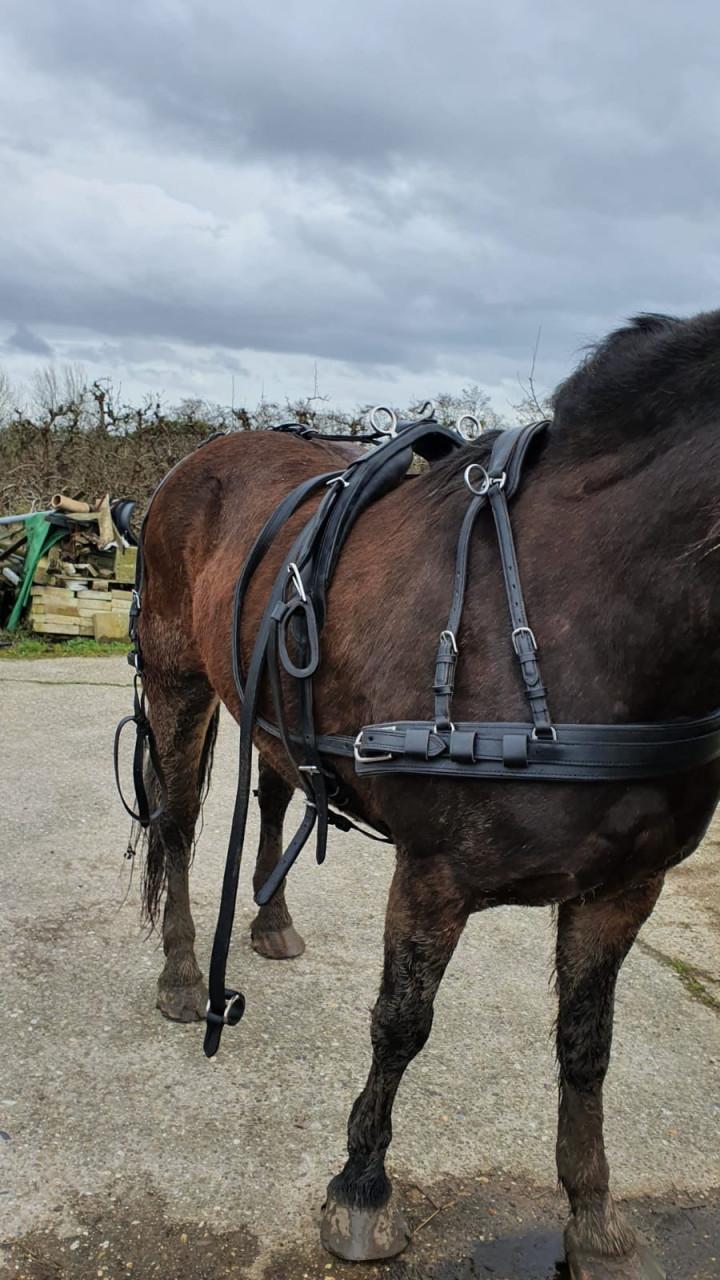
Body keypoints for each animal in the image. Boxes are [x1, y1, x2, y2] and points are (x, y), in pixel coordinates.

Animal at [130, 310, 720, 1280]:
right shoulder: (434, 876)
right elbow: (401, 1023)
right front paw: (362, 1190)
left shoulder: (623, 890)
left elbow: (587, 1049)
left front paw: (594, 1218)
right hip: (178, 682)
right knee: (177, 827)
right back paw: (183, 974)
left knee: (276, 797)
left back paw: (272, 922)